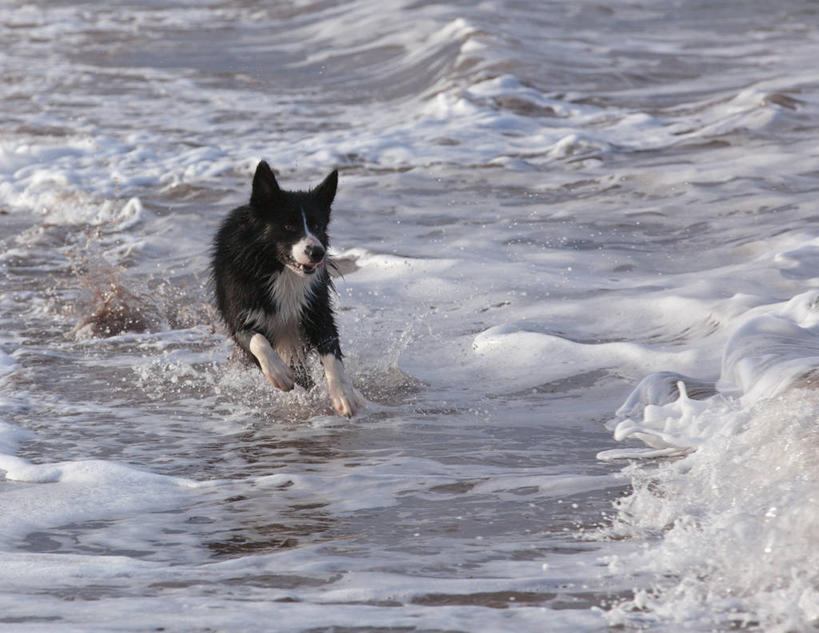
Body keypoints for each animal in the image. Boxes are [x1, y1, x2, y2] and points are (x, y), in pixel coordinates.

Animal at [213, 160, 364, 418]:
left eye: (317, 225)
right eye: (287, 225)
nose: (317, 252)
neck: (278, 269)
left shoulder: (316, 309)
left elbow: (332, 354)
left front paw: (344, 396)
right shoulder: (238, 312)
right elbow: (256, 339)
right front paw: (280, 374)